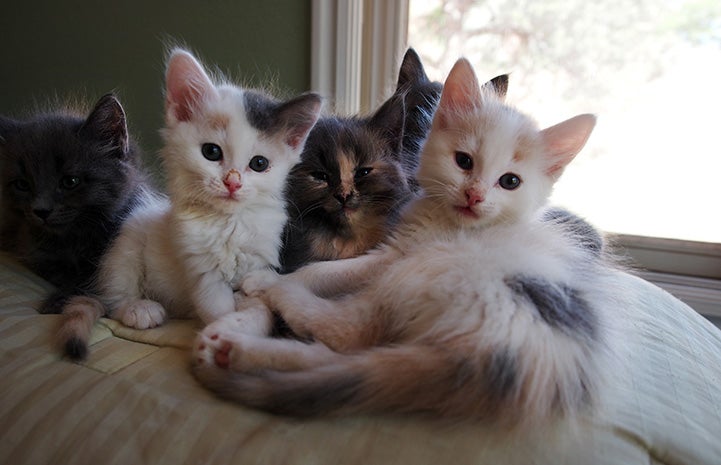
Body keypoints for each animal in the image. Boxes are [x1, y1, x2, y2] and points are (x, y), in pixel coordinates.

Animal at [96, 49, 320, 330]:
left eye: (259, 164)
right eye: (211, 152)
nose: (233, 182)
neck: (230, 224)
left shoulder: (264, 246)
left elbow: (273, 280)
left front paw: (256, 285)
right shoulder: (201, 271)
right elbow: (219, 311)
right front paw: (226, 332)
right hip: (126, 246)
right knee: (114, 297)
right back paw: (140, 309)